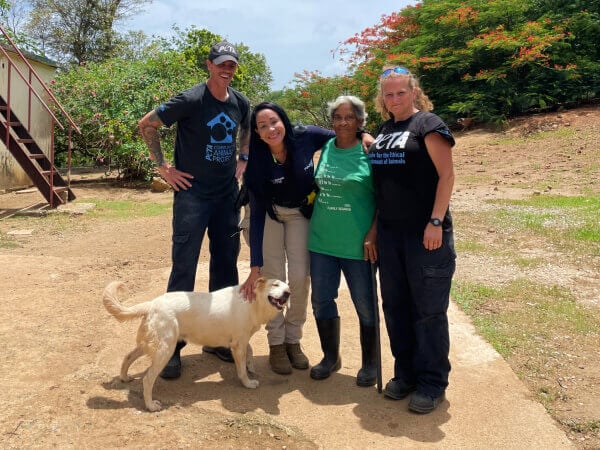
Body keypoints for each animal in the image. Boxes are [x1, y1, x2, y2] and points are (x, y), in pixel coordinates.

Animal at [102, 278, 290, 412]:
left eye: (288, 287)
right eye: (275, 284)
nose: (288, 293)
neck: (253, 302)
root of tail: (153, 303)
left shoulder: (240, 341)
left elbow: (249, 352)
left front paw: (250, 366)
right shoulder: (239, 343)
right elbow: (241, 369)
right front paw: (248, 382)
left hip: (150, 343)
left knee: (128, 356)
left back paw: (124, 377)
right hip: (166, 349)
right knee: (148, 379)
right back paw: (151, 406)